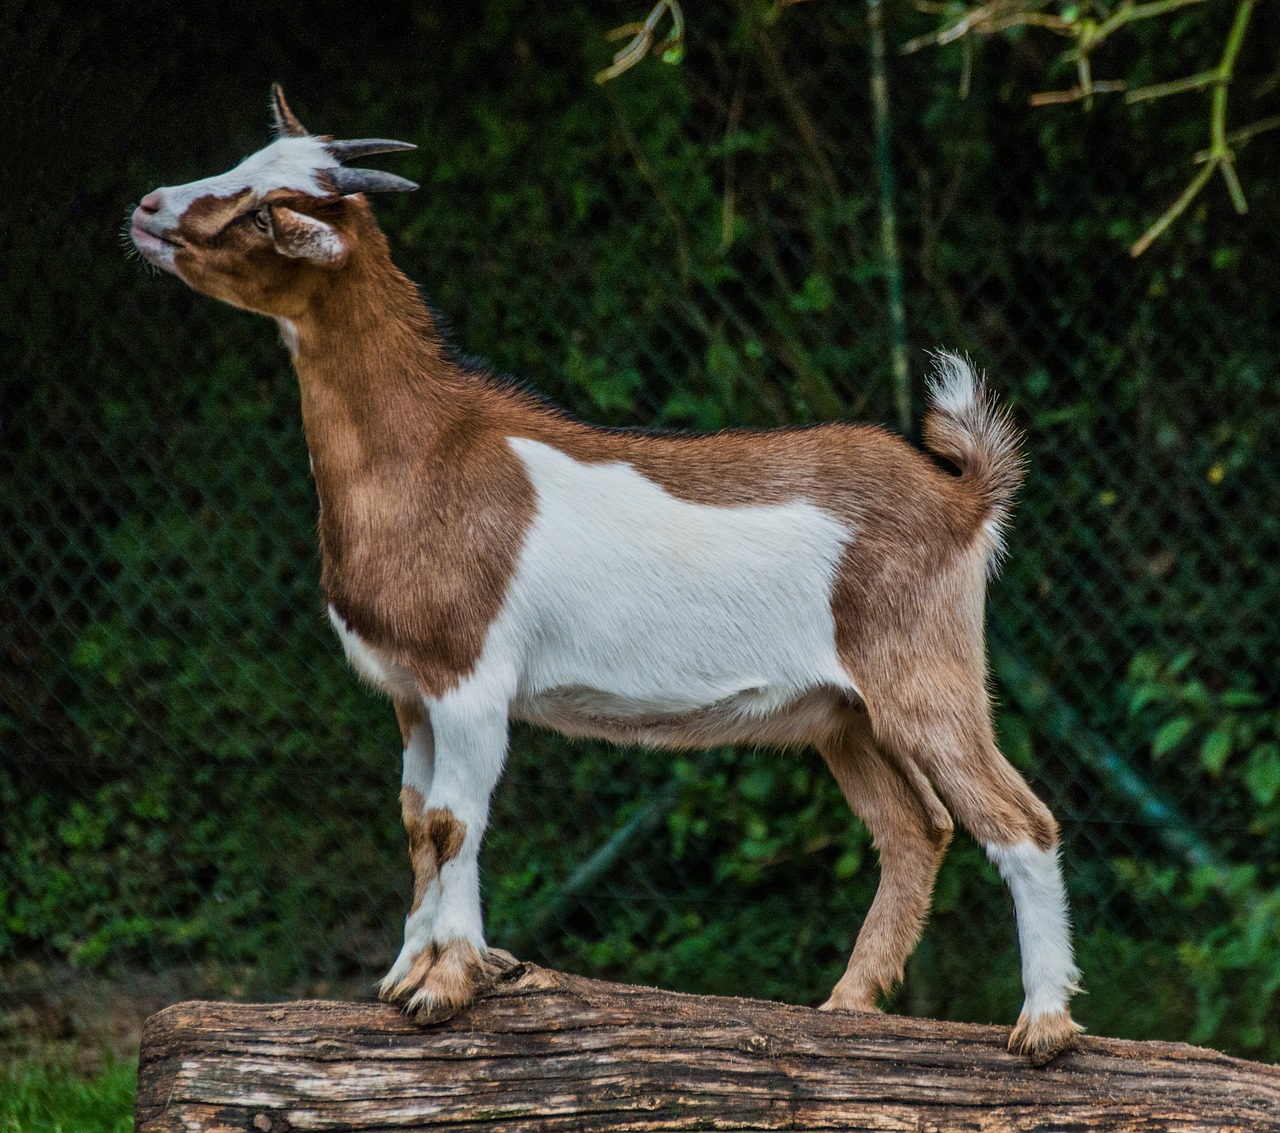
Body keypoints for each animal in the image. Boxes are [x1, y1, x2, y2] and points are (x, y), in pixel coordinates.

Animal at [132, 86, 1080, 1060]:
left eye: (266, 212)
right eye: (246, 167)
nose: (148, 208)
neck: (426, 448)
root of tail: (963, 495)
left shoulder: (471, 677)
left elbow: (454, 820)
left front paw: (447, 983)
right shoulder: (410, 690)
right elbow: (414, 822)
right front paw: (403, 974)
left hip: (923, 666)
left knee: (1019, 818)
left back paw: (1044, 1023)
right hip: (844, 713)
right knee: (915, 827)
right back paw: (847, 1005)